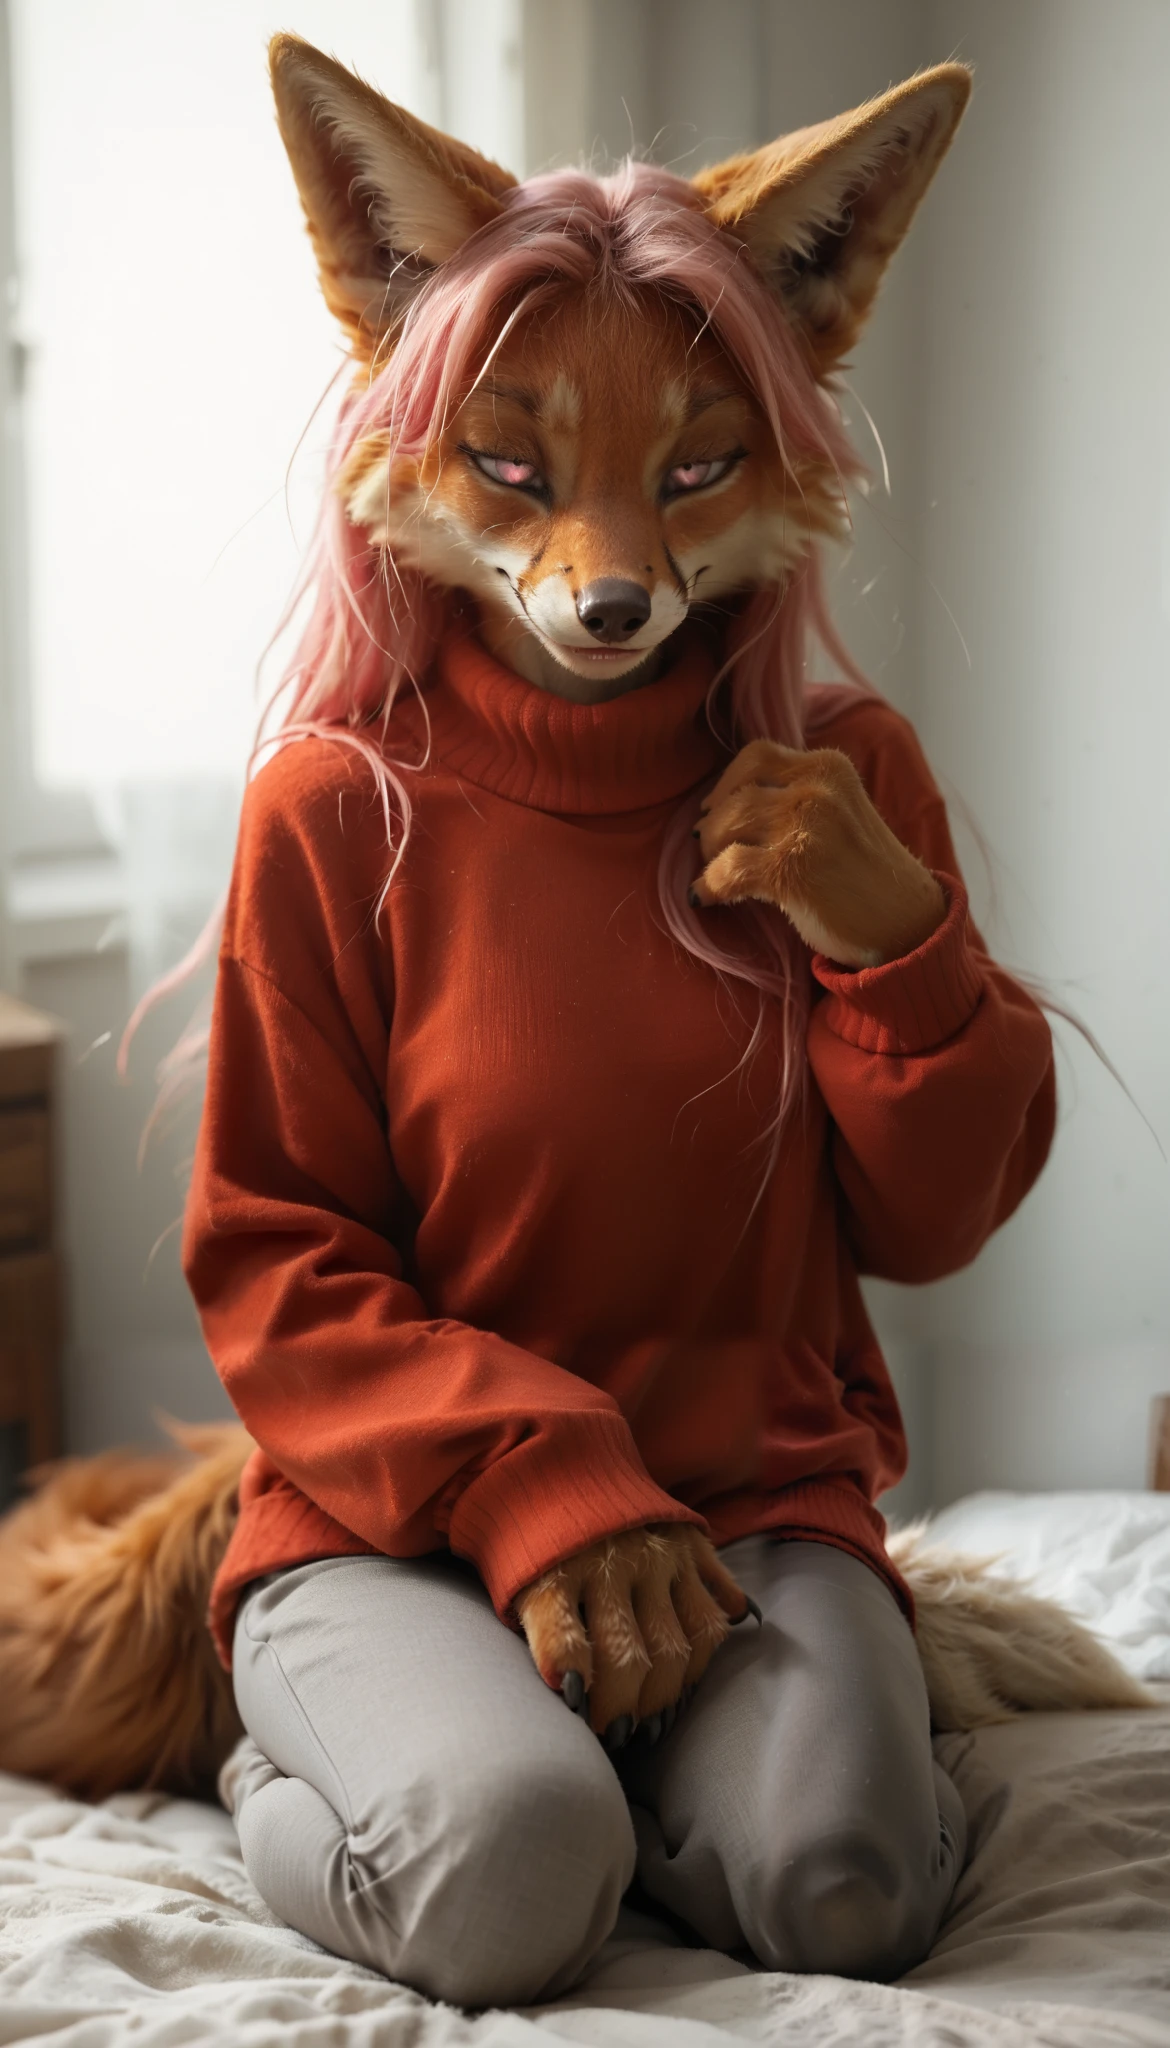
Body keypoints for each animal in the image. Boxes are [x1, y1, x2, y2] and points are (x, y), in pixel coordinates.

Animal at [0, 37, 1150, 1803]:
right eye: (508, 465)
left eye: (697, 467)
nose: (614, 612)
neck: (573, 755)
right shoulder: (286, 855)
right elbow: (306, 1243)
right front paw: (601, 1549)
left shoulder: (880, 776)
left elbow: (933, 1193)